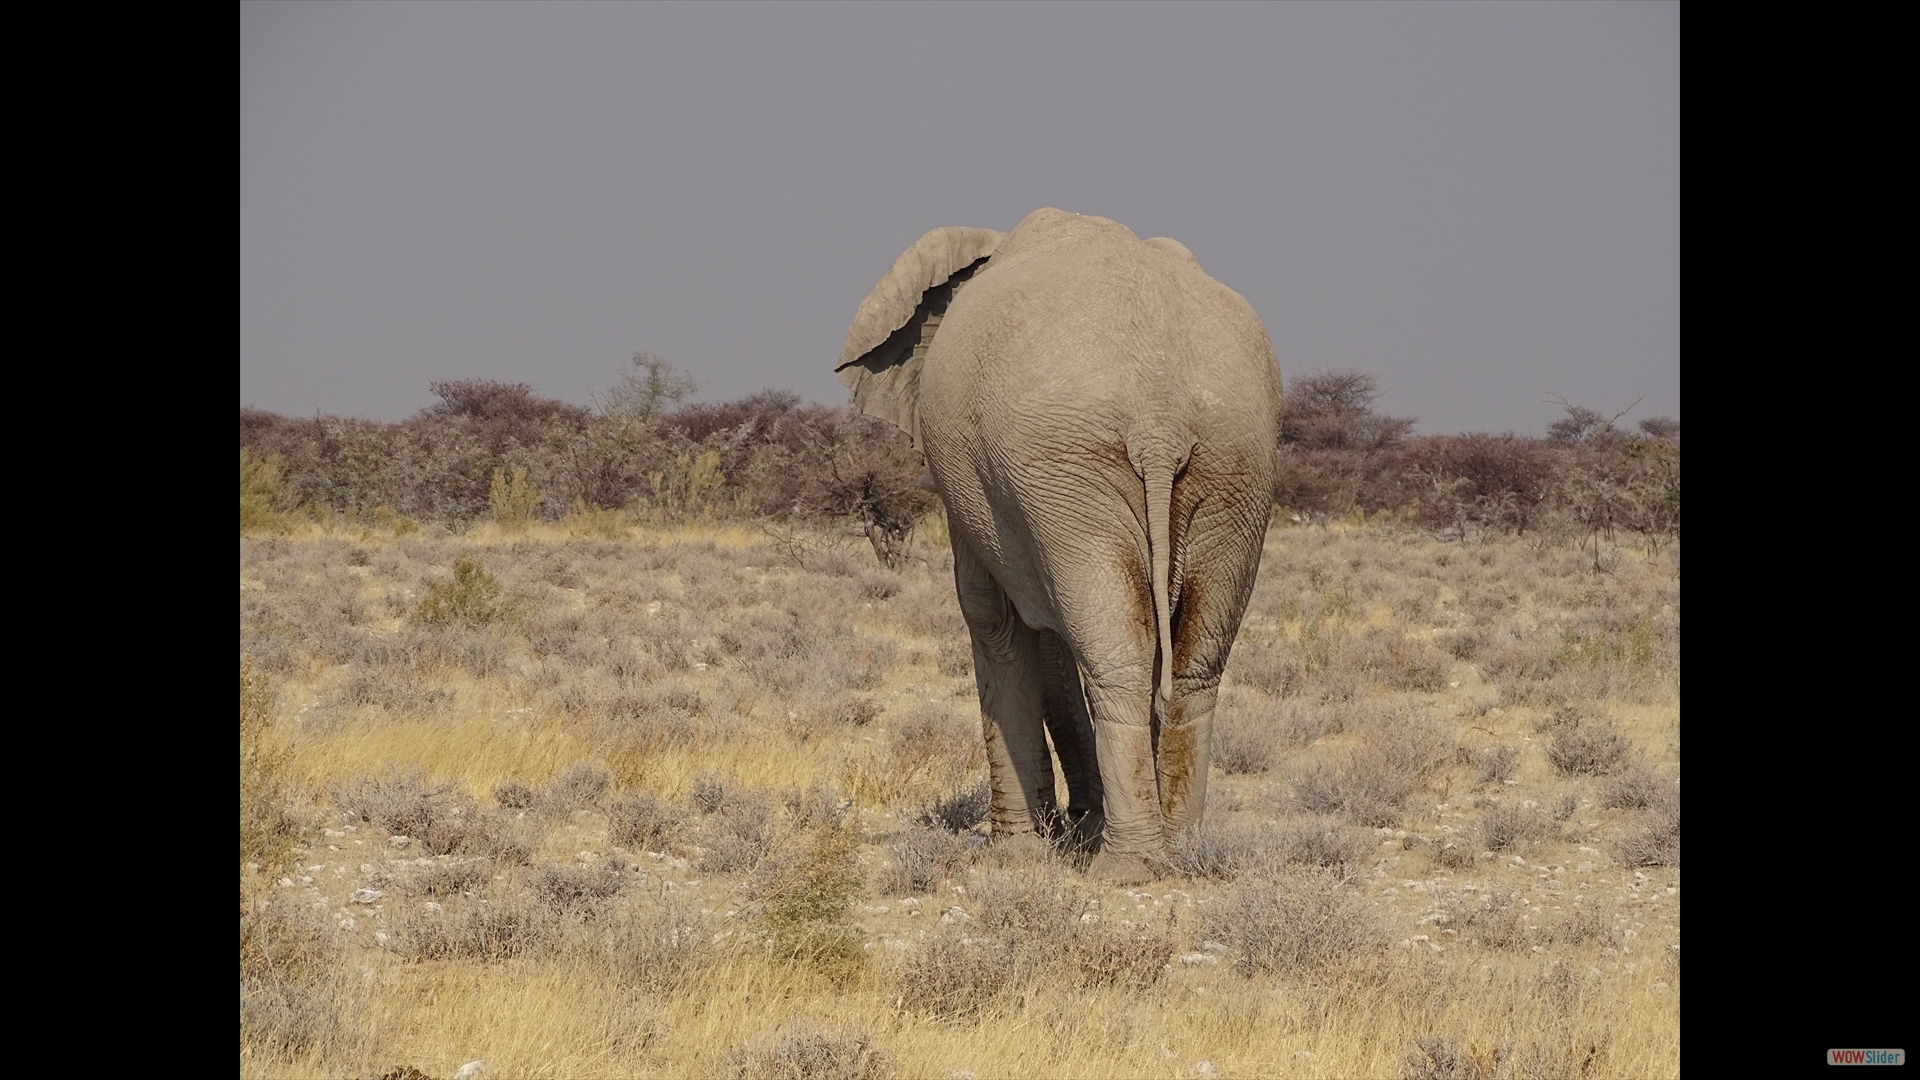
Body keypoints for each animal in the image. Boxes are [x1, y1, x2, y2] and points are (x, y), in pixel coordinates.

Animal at [833, 205, 1282, 880]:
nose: (1073, 820)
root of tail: (1158, 418)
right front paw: (1076, 829)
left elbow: (993, 618)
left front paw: (1015, 856)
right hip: (1231, 463)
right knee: (1190, 661)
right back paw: (1181, 852)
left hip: (1071, 461)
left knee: (1117, 655)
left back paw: (1126, 868)